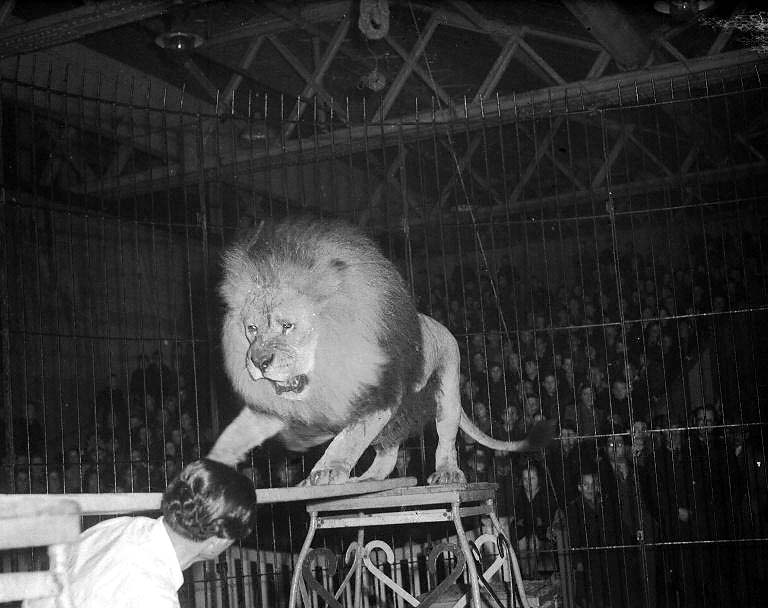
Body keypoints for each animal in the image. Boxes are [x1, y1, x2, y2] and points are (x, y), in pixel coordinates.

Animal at [207, 217, 548, 484]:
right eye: (251, 329)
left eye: (287, 326)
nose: (258, 361)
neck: (325, 369)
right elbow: (235, 433)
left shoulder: (380, 395)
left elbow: (348, 438)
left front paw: (327, 470)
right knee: (388, 456)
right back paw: (368, 478)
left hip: (447, 393)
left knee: (445, 440)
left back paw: (447, 473)